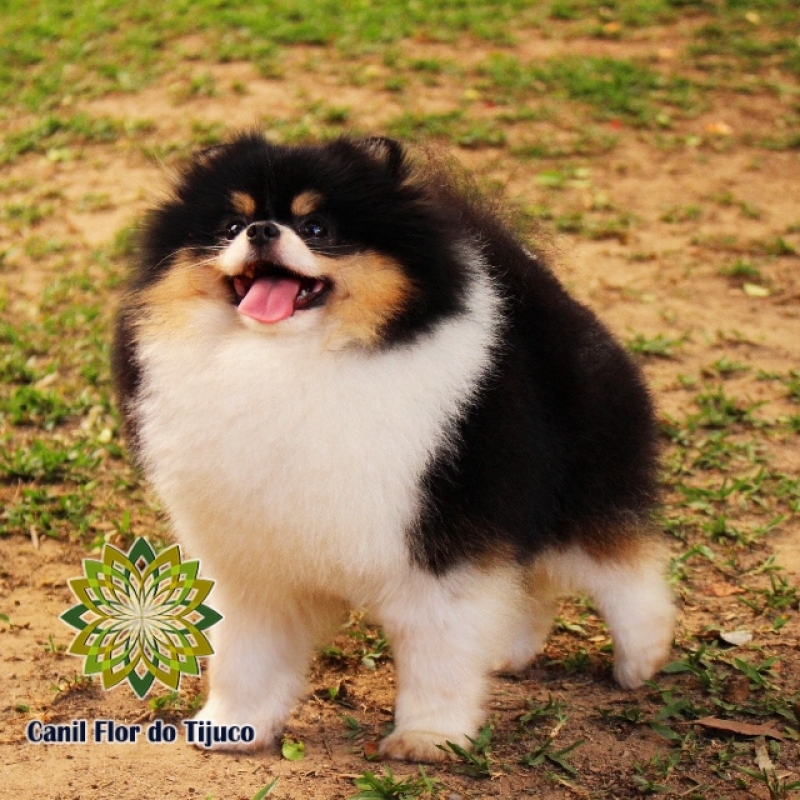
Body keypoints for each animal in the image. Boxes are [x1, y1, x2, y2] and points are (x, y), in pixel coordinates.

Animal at [112, 133, 676, 764]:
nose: (260, 230)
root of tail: (538, 287)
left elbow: (437, 654)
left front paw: (429, 736)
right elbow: (246, 655)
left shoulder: (440, 543)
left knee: (624, 566)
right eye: (230, 224)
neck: (289, 360)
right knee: (532, 579)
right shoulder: (255, 557)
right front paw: (233, 725)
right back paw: (506, 651)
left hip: (577, 481)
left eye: (317, 228)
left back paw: (642, 658)